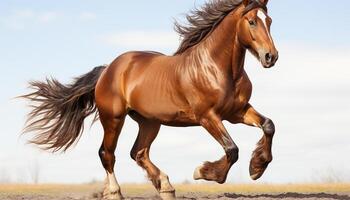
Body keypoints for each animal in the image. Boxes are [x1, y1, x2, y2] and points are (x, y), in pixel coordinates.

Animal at [21, 0, 278, 199]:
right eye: (252, 21)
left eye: (269, 21)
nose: (271, 57)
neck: (217, 68)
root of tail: (108, 69)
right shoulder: (208, 116)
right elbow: (231, 148)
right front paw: (203, 172)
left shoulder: (236, 112)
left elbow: (268, 125)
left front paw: (257, 167)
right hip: (113, 118)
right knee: (107, 153)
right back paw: (114, 192)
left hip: (149, 122)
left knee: (138, 153)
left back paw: (165, 187)